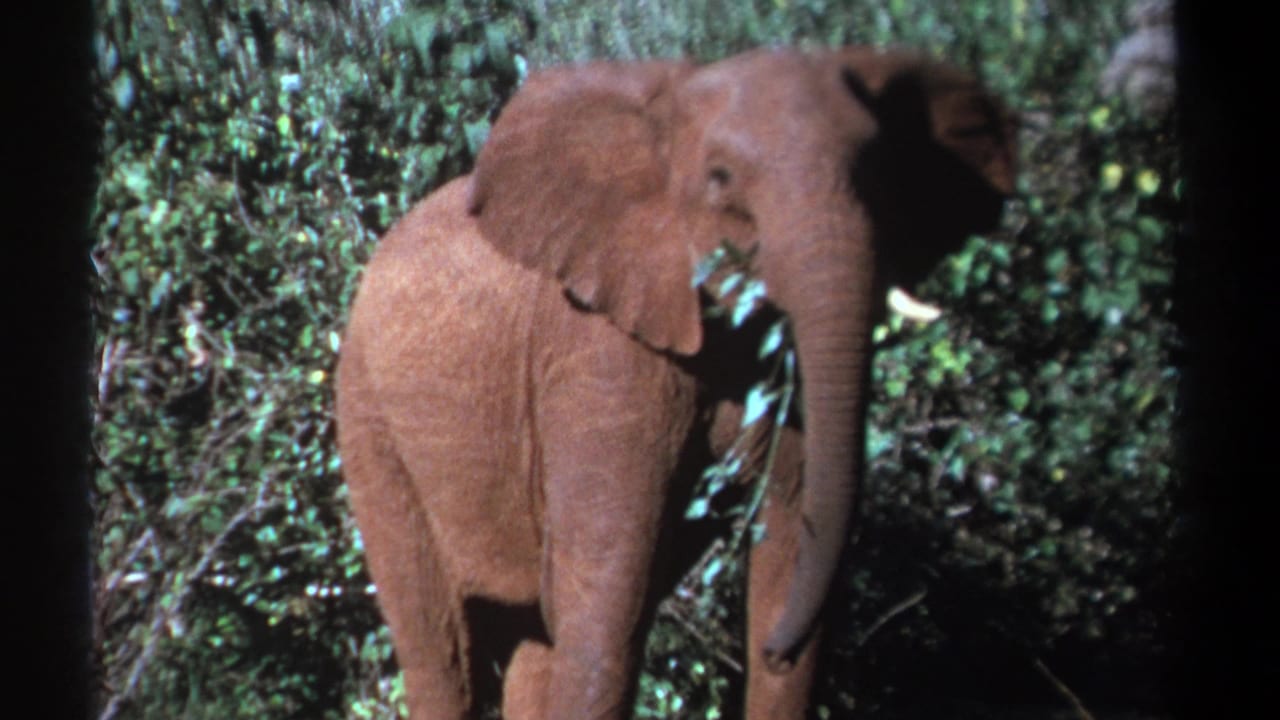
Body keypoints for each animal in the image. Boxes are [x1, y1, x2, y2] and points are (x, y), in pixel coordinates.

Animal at [335, 46, 1016, 720]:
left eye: (878, 174)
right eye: (720, 178)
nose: (773, 650)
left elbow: (790, 541)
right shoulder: (599, 348)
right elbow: (610, 600)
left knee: (532, 639)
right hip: (369, 420)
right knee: (442, 648)